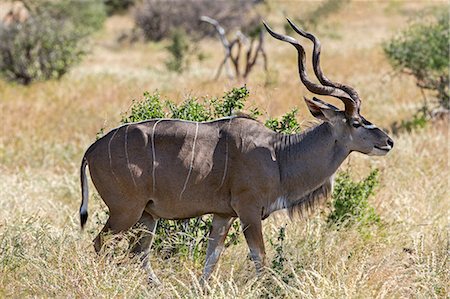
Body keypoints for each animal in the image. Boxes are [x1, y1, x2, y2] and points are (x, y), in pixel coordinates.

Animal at [80, 19, 394, 284]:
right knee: (100, 244)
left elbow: (211, 261)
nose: (388, 141)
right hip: (125, 212)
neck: (278, 156)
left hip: (147, 215)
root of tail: (92, 150)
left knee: (139, 254)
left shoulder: (223, 216)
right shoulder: (249, 211)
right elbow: (260, 260)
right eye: (356, 122)